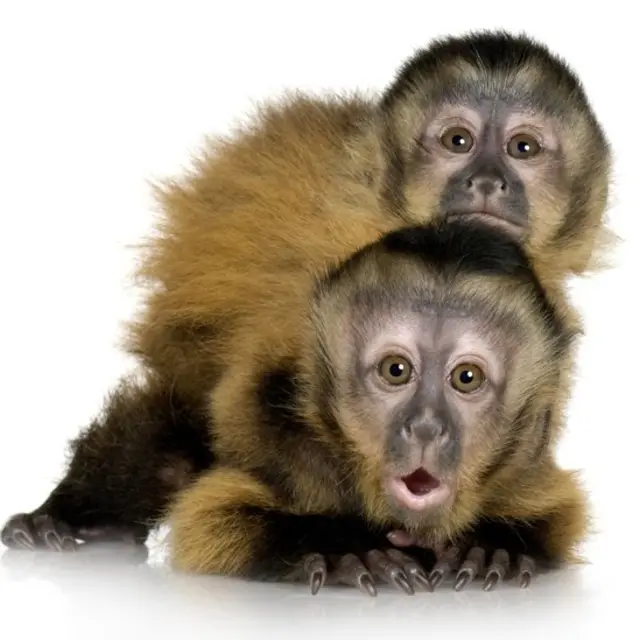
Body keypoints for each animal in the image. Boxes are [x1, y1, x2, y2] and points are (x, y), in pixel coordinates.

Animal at [1, 30, 608, 590]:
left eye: (523, 148)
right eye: (456, 140)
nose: (486, 181)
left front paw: (489, 542)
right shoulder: (326, 256)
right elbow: (250, 410)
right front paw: (340, 539)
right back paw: (70, 516)